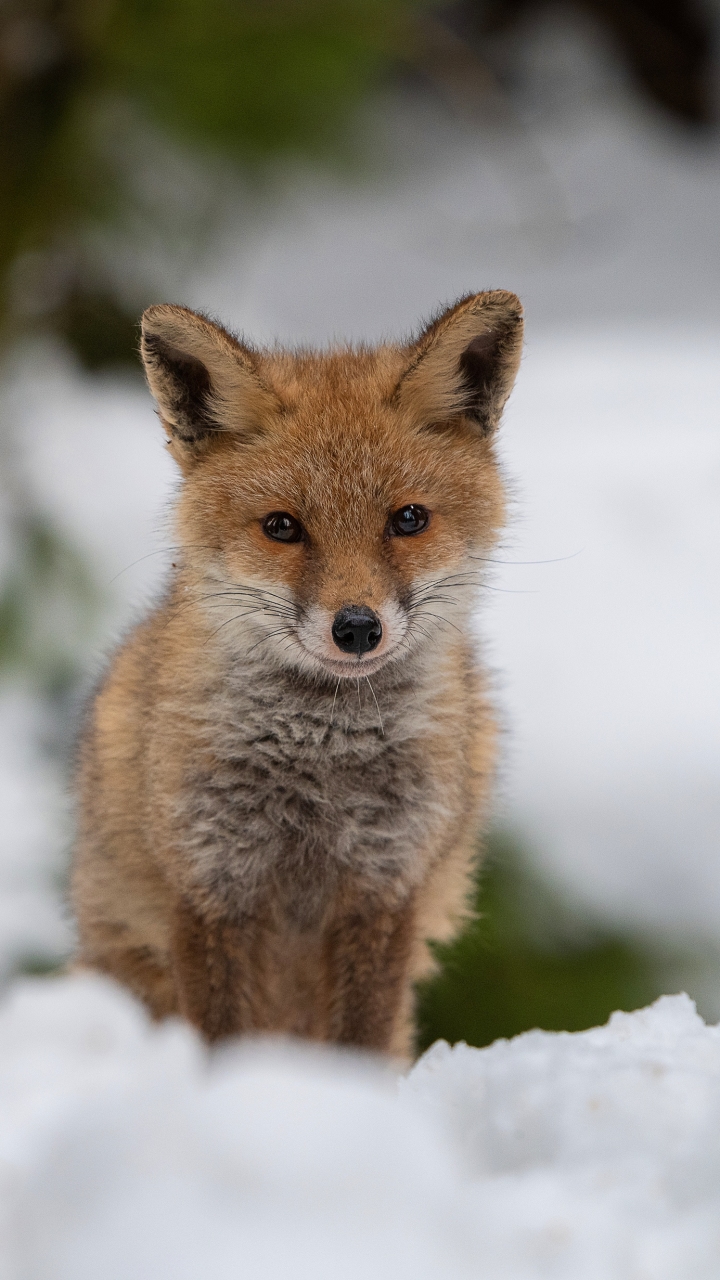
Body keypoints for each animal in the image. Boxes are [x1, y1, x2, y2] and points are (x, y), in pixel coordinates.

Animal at [73, 293, 520, 1059]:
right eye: (282, 526)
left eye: (408, 519)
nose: (358, 628)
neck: (322, 757)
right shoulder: (211, 884)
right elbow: (220, 1036)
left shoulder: (383, 885)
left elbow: (361, 1040)